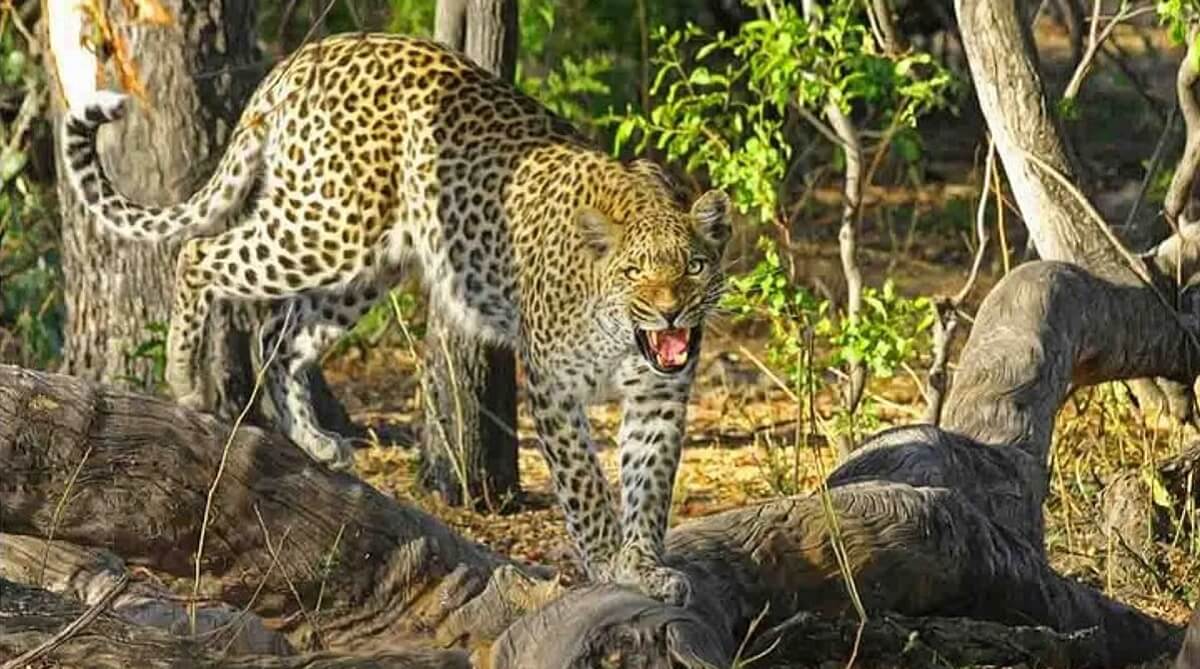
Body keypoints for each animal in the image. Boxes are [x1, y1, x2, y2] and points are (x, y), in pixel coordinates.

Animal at [60, 32, 732, 604]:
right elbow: (586, 487)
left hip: (367, 265)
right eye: (634, 272)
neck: (625, 336)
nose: (670, 310)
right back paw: (186, 380)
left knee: (280, 334)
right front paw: (607, 563)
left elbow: (649, 489)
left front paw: (644, 567)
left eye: (695, 267)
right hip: (326, 226)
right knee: (200, 254)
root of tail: (305, 56)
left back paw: (313, 440)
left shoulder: (660, 397)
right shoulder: (552, 386)